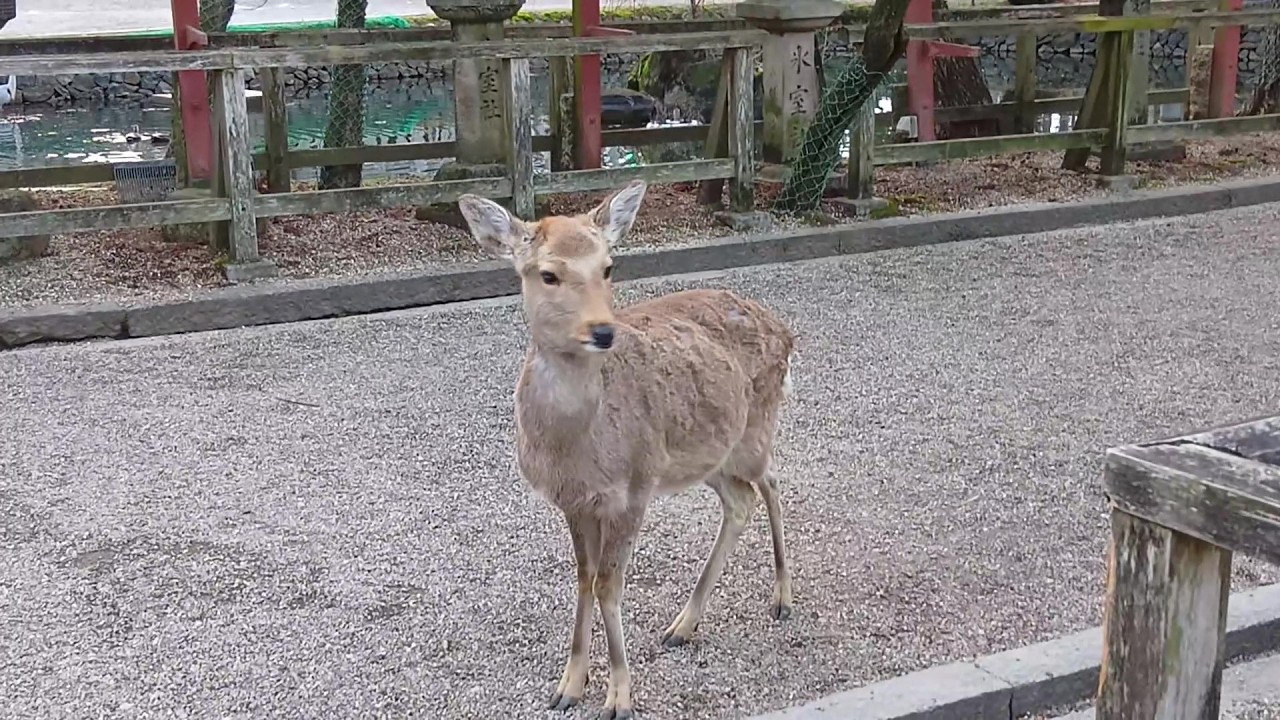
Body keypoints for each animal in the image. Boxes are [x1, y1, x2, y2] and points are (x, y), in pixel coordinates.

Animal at [456, 180, 796, 719]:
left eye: (609, 267)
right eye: (548, 273)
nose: (602, 331)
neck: (575, 450)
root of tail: (785, 330)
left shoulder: (632, 490)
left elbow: (609, 585)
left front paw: (618, 696)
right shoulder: (574, 501)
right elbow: (584, 579)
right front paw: (569, 685)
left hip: (753, 429)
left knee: (772, 482)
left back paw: (782, 598)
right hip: (704, 453)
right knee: (740, 500)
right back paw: (682, 625)